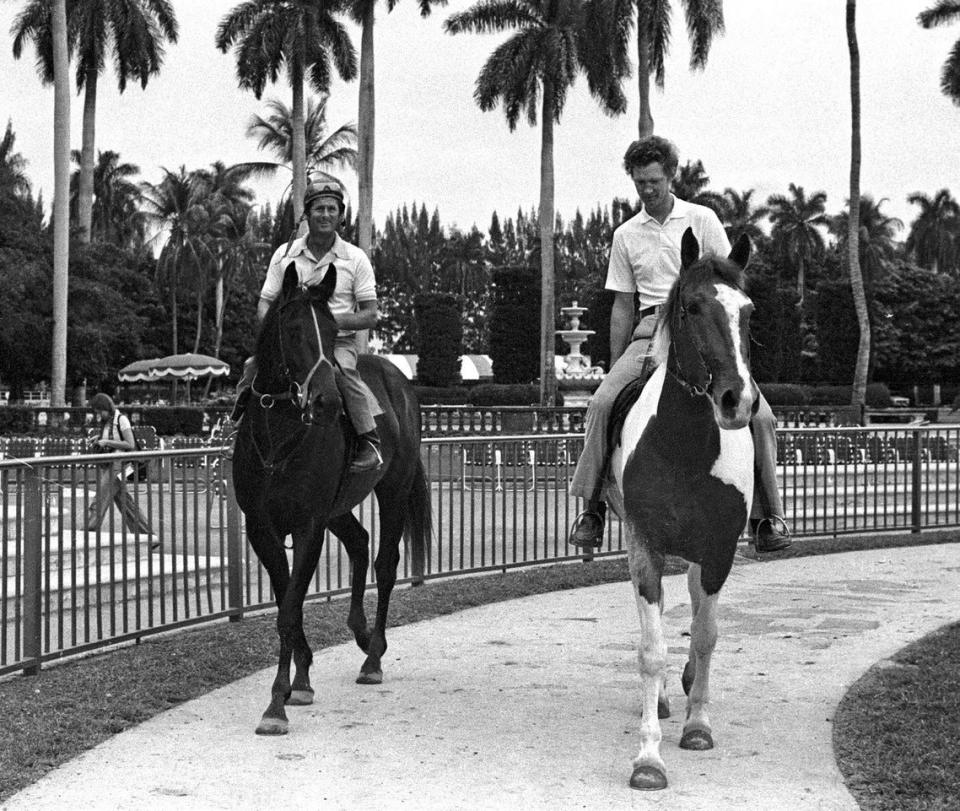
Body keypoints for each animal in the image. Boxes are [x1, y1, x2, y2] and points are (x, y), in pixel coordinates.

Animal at [232, 262, 432, 736]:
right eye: (293, 329)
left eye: (331, 328)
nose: (326, 400)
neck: (278, 435)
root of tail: (400, 381)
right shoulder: (263, 529)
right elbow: (288, 602)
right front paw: (300, 678)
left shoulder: (309, 526)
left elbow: (289, 609)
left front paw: (277, 703)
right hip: (338, 509)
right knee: (359, 543)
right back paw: (361, 633)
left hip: (392, 491)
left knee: (384, 563)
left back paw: (373, 656)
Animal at [608, 225, 756, 788]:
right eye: (691, 308)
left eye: (748, 311)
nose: (737, 400)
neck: (685, 446)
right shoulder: (644, 545)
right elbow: (652, 649)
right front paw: (648, 757)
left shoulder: (719, 549)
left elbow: (707, 636)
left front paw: (698, 725)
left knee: (694, 609)